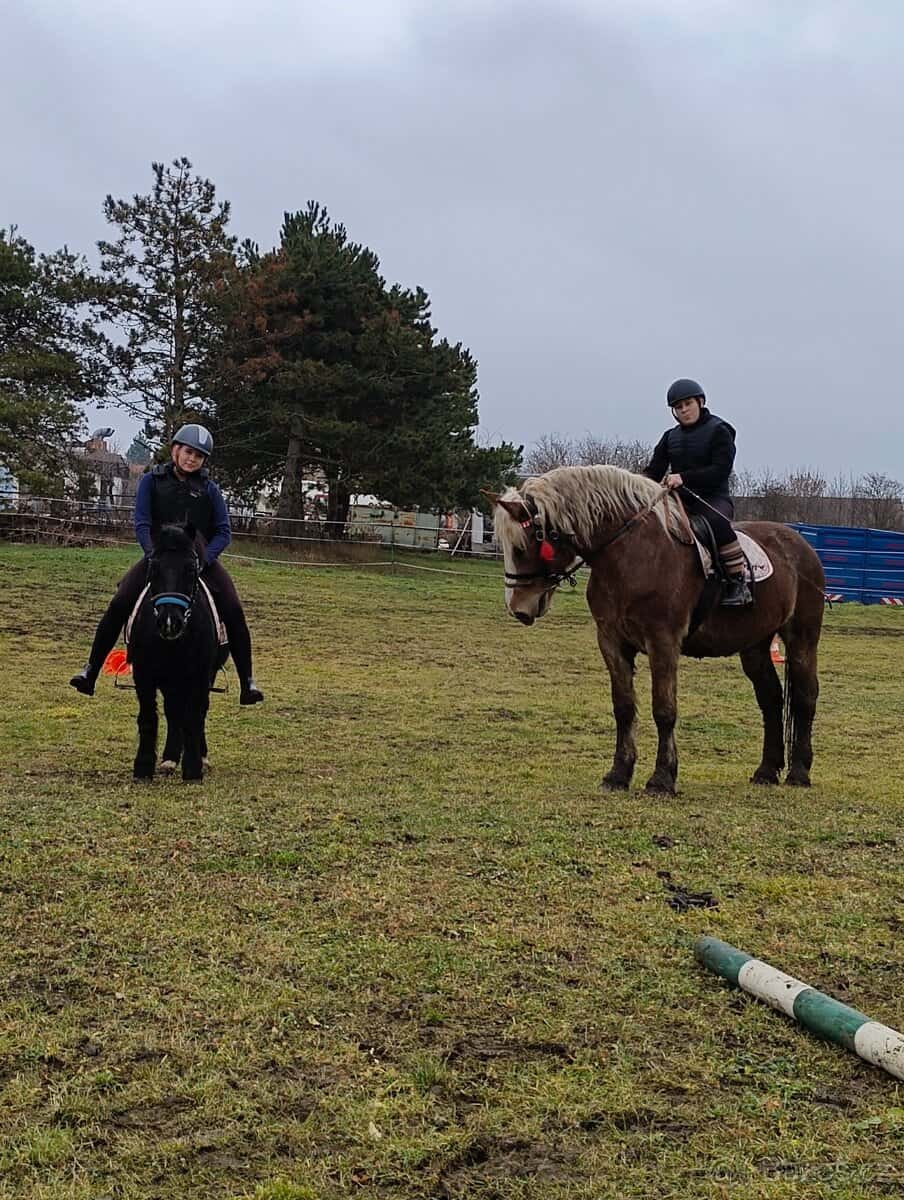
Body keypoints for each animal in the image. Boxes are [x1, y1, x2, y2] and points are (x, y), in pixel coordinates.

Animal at [128, 523, 224, 782]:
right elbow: (149, 717)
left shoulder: (199, 675)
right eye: (153, 568)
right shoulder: (144, 674)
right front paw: (143, 767)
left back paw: (199, 756)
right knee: (173, 711)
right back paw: (170, 758)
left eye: (191, 569)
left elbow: (193, 716)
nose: (170, 622)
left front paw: (192, 768)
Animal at [485, 465, 825, 794]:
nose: (518, 608)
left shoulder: (663, 642)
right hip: (754, 645)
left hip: (802, 639)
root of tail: (800, 544)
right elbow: (623, 707)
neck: (630, 554)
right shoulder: (611, 641)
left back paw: (799, 772)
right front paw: (618, 774)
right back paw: (766, 771)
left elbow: (664, 709)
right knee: (771, 698)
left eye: (521, 547)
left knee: (805, 696)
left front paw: (662, 778)